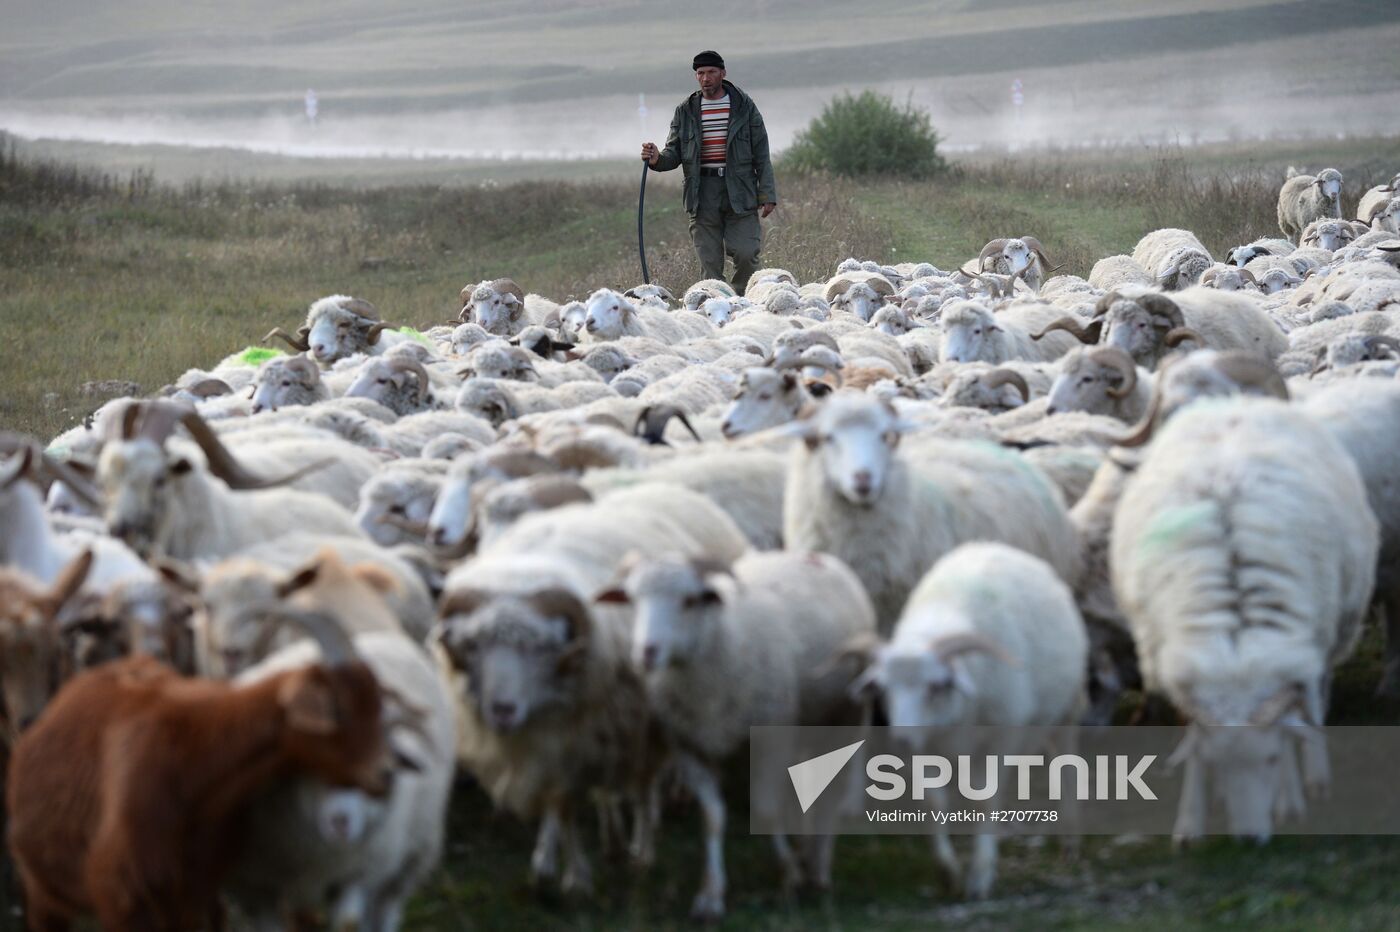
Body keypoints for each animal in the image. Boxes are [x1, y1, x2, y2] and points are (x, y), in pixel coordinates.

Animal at [8, 610, 397, 923]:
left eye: (377, 705)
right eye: (336, 709)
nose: (386, 773)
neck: (194, 760)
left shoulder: (195, 893)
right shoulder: (122, 897)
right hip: (42, 892)